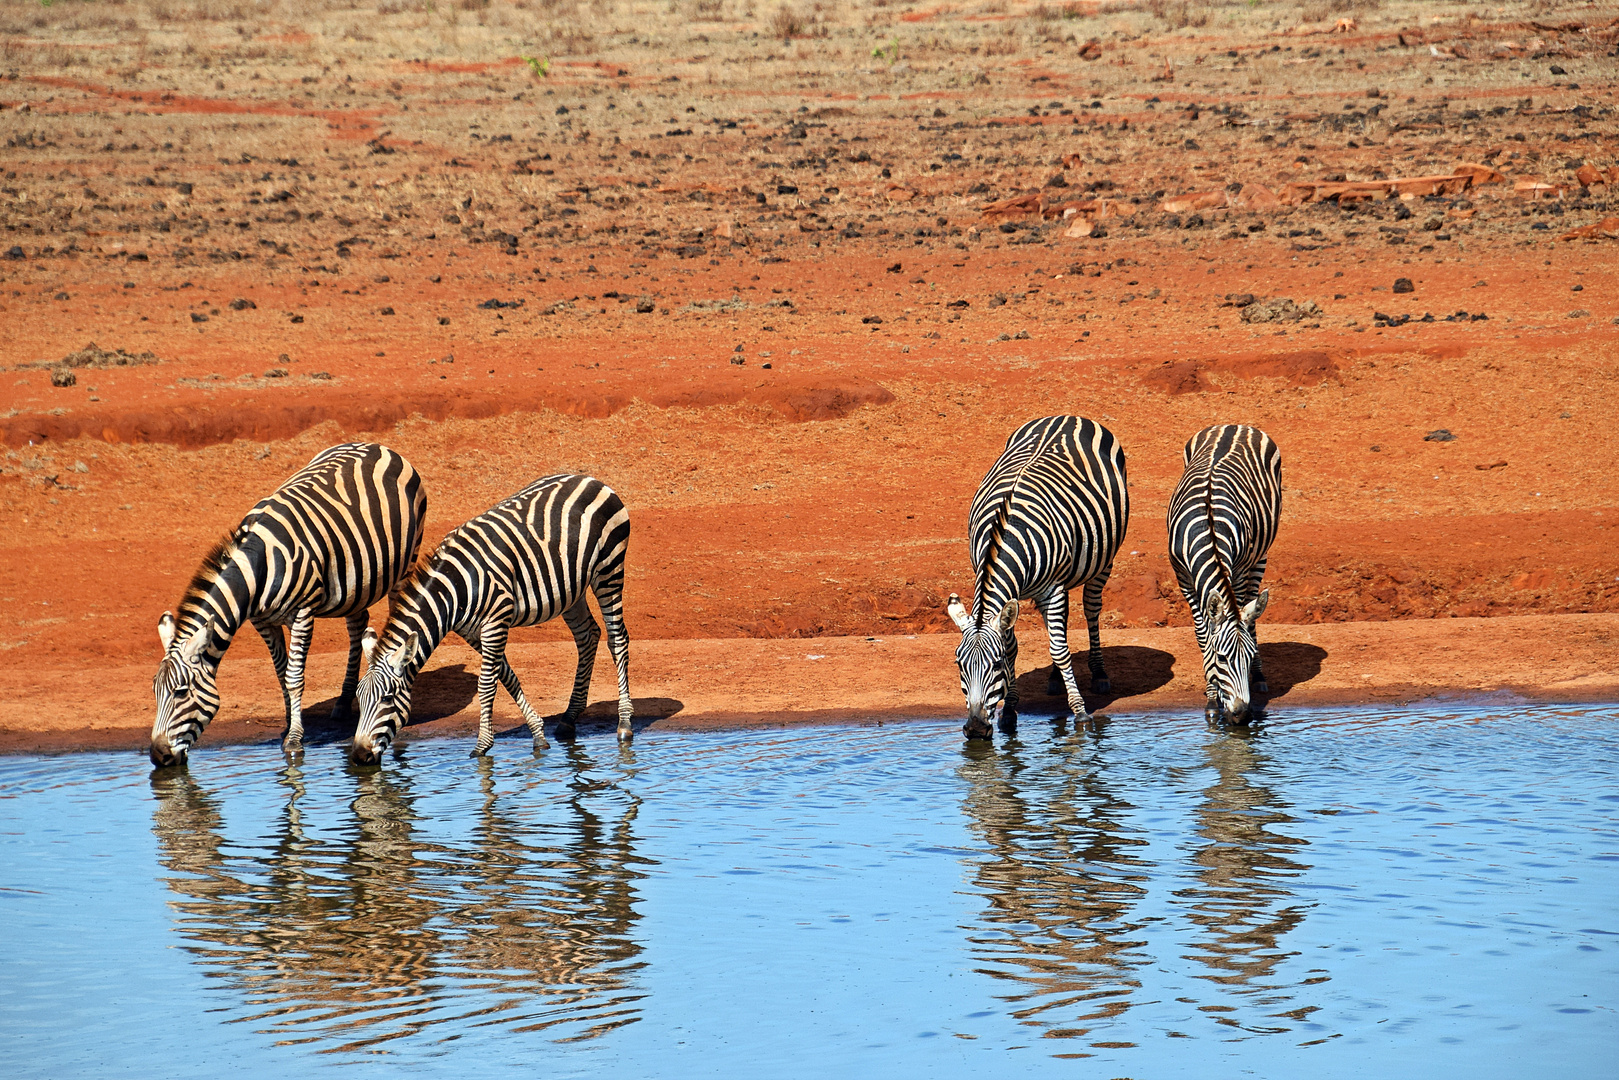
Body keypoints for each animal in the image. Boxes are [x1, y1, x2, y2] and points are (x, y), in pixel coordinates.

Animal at [149, 440, 427, 767]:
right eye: (155, 691)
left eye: (181, 692)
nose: (157, 756)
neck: (259, 567)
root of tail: (377, 445)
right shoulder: (262, 620)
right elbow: (281, 674)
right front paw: (287, 724)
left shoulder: (303, 613)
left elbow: (294, 678)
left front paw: (294, 740)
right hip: (357, 580)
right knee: (358, 624)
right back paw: (344, 701)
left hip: (404, 565)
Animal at [351, 469, 634, 764]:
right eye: (358, 698)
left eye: (387, 698)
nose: (358, 756)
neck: (455, 588)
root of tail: (588, 478)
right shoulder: (472, 631)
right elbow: (506, 677)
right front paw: (538, 734)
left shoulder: (496, 621)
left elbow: (486, 684)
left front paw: (481, 748)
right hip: (570, 590)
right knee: (587, 636)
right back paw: (569, 719)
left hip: (609, 569)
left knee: (617, 639)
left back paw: (624, 724)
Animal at [945, 417, 1126, 738]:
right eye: (959, 664)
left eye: (995, 665)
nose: (975, 729)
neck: (1005, 536)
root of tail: (1067, 415)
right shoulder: (1013, 595)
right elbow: (1016, 646)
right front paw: (1009, 711)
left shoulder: (1052, 589)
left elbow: (1060, 650)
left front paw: (1080, 712)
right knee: (1060, 626)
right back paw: (1055, 679)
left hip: (1103, 559)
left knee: (1090, 609)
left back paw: (1099, 673)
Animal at [1172, 420, 1282, 725]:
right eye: (1222, 659)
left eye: (1249, 657)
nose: (1241, 715)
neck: (1208, 529)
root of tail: (1234, 425)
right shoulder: (1183, 577)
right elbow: (1203, 634)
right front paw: (1212, 697)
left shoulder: (1239, 568)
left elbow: (1243, 612)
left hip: (1260, 555)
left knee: (1251, 613)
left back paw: (1259, 677)